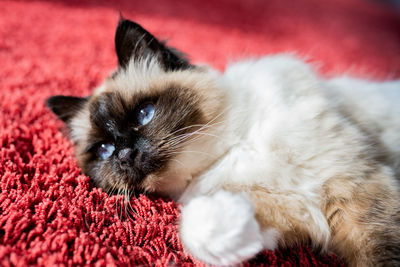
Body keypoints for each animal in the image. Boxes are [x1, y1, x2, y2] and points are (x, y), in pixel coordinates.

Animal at [47, 17, 400, 266]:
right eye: (104, 150)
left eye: (144, 114)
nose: (124, 155)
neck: (232, 149)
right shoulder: (295, 208)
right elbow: (198, 231)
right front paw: (225, 225)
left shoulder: (355, 190)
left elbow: (379, 254)